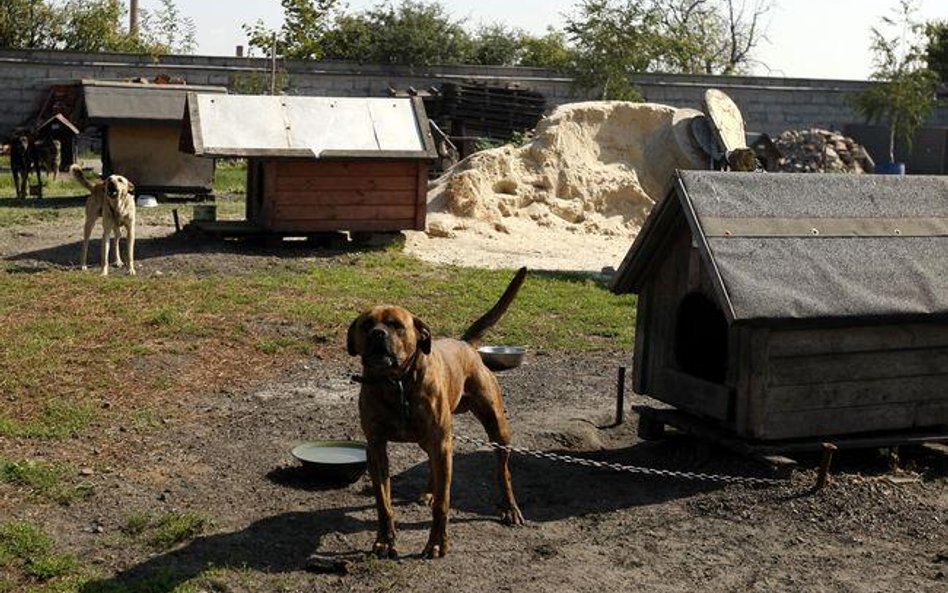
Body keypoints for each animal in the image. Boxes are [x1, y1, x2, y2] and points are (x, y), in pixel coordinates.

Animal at [346, 266, 524, 556]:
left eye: (397, 325)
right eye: (366, 325)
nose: (377, 334)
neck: (397, 382)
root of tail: (465, 344)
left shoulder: (441, 443)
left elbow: (444, 502)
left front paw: (437, 542)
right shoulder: (376, 447)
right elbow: (383, 502)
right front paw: (385, 539)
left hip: (497, 427)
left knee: (503, 471)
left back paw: (509, 507)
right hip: (429, 439)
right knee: (433, 466)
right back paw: (430, 491)